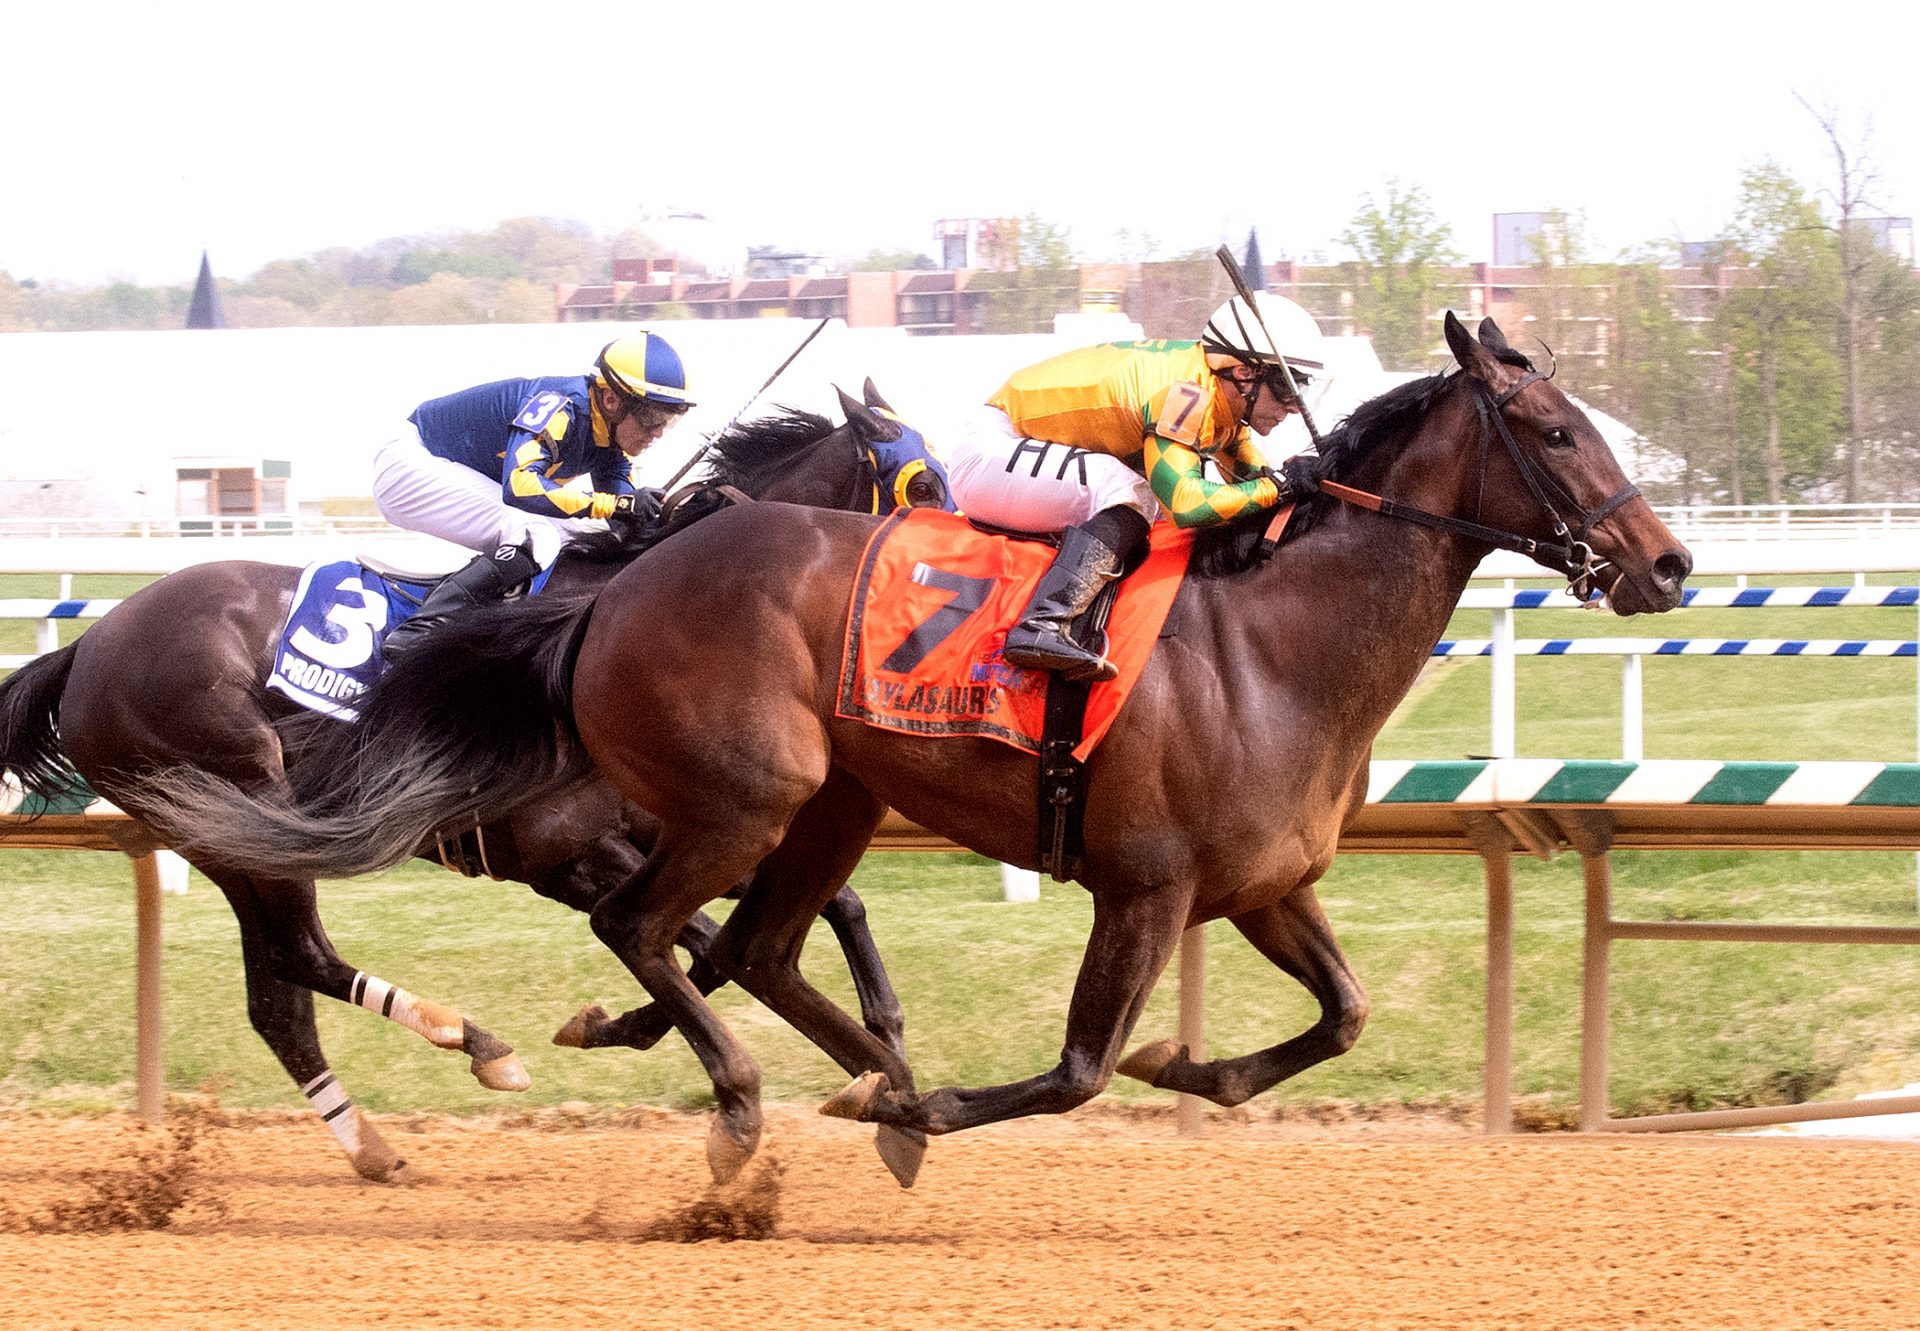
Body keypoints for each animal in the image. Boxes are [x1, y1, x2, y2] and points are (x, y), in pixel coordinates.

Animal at [0, 384, 944, 1183]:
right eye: (926, 482)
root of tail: (88, 646)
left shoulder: (691, 822)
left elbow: (818, 909)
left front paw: (883, 1050)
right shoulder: (571, 853)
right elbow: (699, 942)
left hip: (229, 837)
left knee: (280, 1002)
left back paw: (374, 1145)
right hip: (241, 803)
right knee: (301, 957)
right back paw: (474, 1041)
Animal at [123, 314, 1697, 1183]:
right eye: (1557, 428)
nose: (1670, 562)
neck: (1274, 643)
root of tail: (614, 589)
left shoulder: (1262, 886)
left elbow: (1345, 1015)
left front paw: (1184, 1069)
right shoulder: (1147, 883)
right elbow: (1076, 1068)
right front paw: (938, 1100)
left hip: (826, 801)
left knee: (750, 946)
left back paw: (837, 1072)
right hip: (737, 795)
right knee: (650, 928)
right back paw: (746, 1099)